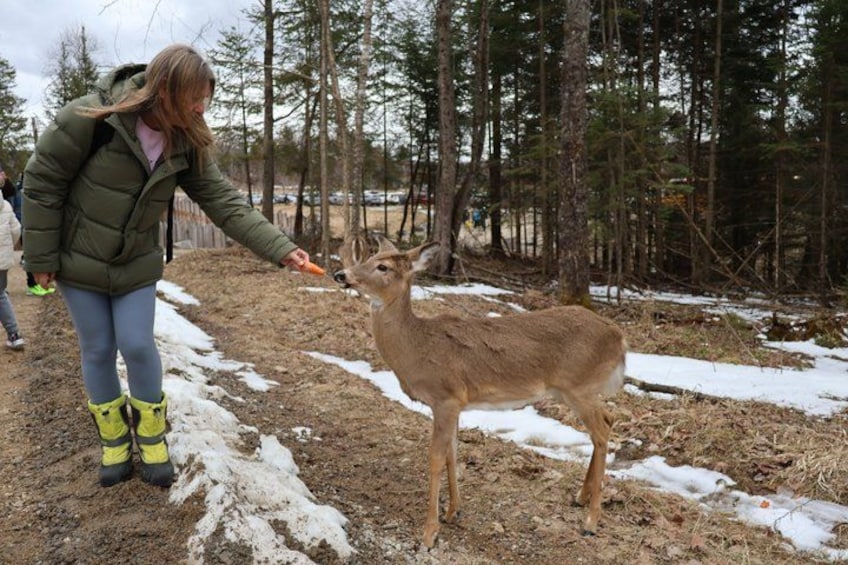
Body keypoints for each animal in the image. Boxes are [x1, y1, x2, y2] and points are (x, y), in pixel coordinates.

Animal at [333, 237, 627, 548]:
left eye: (383, 266)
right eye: (370, 258)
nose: (341, 275)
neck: (417, 347)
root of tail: (619, 337)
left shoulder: (445, 397)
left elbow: (436, 457)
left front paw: (429, 532)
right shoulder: (455, 404)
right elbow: (452, 452)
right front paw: (453, 511)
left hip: (579, 387)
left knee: (602, 431)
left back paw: (591, 522)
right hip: (570, 390)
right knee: (607, 421)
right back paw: (580, 497)